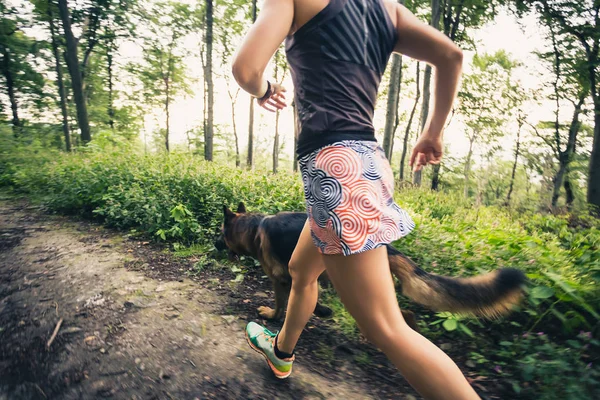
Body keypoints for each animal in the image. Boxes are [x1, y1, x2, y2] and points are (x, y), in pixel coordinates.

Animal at [217, 203, 524, 328]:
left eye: (221, 234)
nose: (214, 243)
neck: (253, 227)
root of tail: (386, 246)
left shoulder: (284, 278)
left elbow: (283, 304)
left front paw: (273, 316)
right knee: (405, 316)